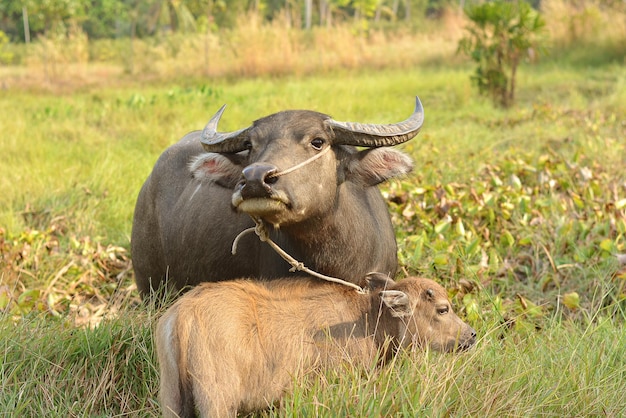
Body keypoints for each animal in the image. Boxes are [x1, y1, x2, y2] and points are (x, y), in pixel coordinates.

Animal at [155, 272, 472, 416]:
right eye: (443, 309)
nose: (471, 335)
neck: (366, 320)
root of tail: (184, 315)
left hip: (172, 398)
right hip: (217, 401)